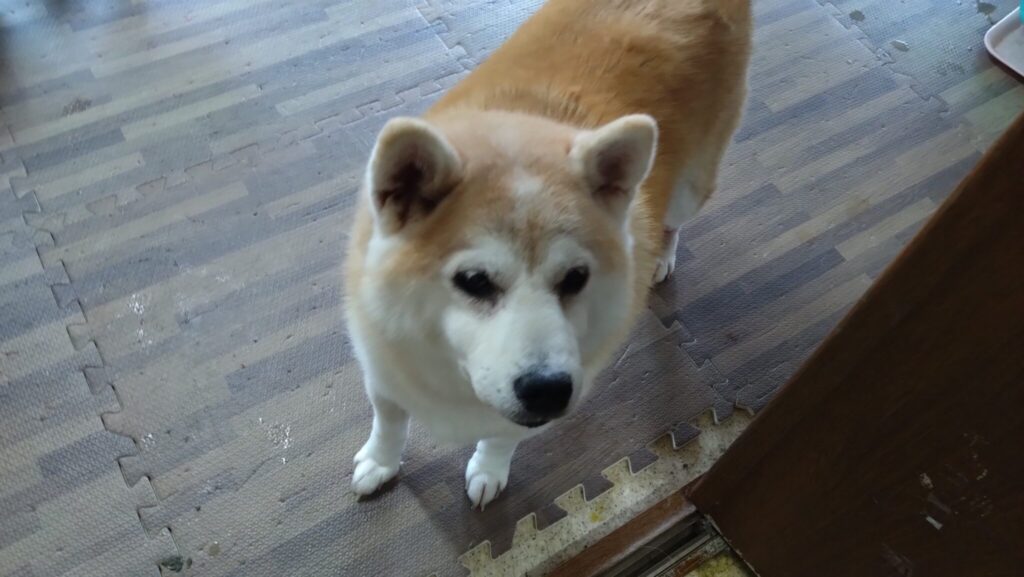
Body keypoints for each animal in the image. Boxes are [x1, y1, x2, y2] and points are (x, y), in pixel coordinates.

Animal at [344, 0, 751, 508]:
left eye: (576, 278)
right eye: (474, 281)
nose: (548, 391)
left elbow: (499, 439)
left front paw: (488, 470)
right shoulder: (382, 372)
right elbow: (390, 424)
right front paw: (379, 463)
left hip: (689, 188)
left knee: (675, 220)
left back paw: (660, 255)